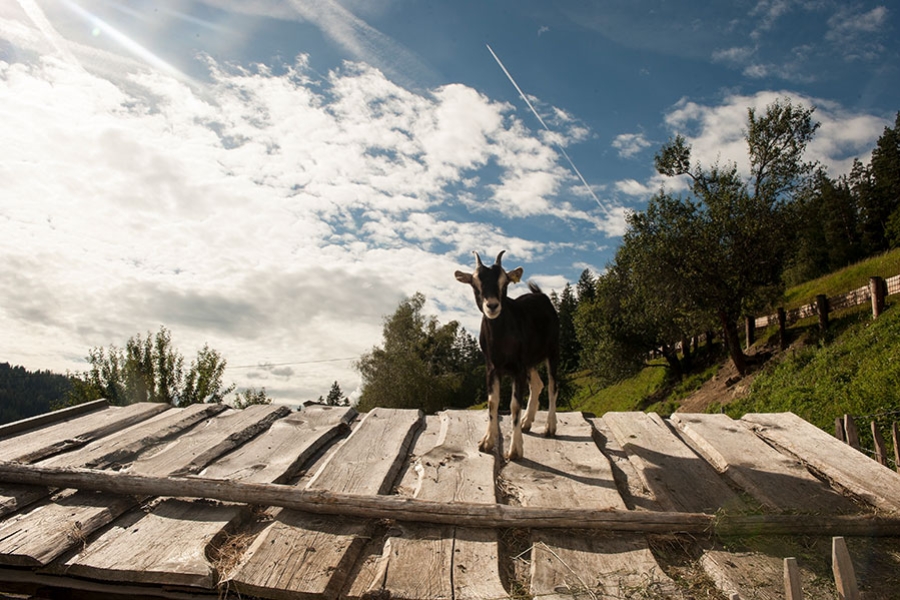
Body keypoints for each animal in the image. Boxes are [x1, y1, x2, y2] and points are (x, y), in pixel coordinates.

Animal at [454, 248, 560, 460]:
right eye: (475, 283)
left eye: (505, 282)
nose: (492, 306)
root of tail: (542, 296)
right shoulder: (492, 367)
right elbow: (492, 402)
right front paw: (487, 441)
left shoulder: (517, 369)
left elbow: (514, 405)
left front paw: (516, 449)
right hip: (530, 361)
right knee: (538, 384)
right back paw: (527, 422)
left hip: (553, 350)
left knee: (553, 385)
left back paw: (549, 427)